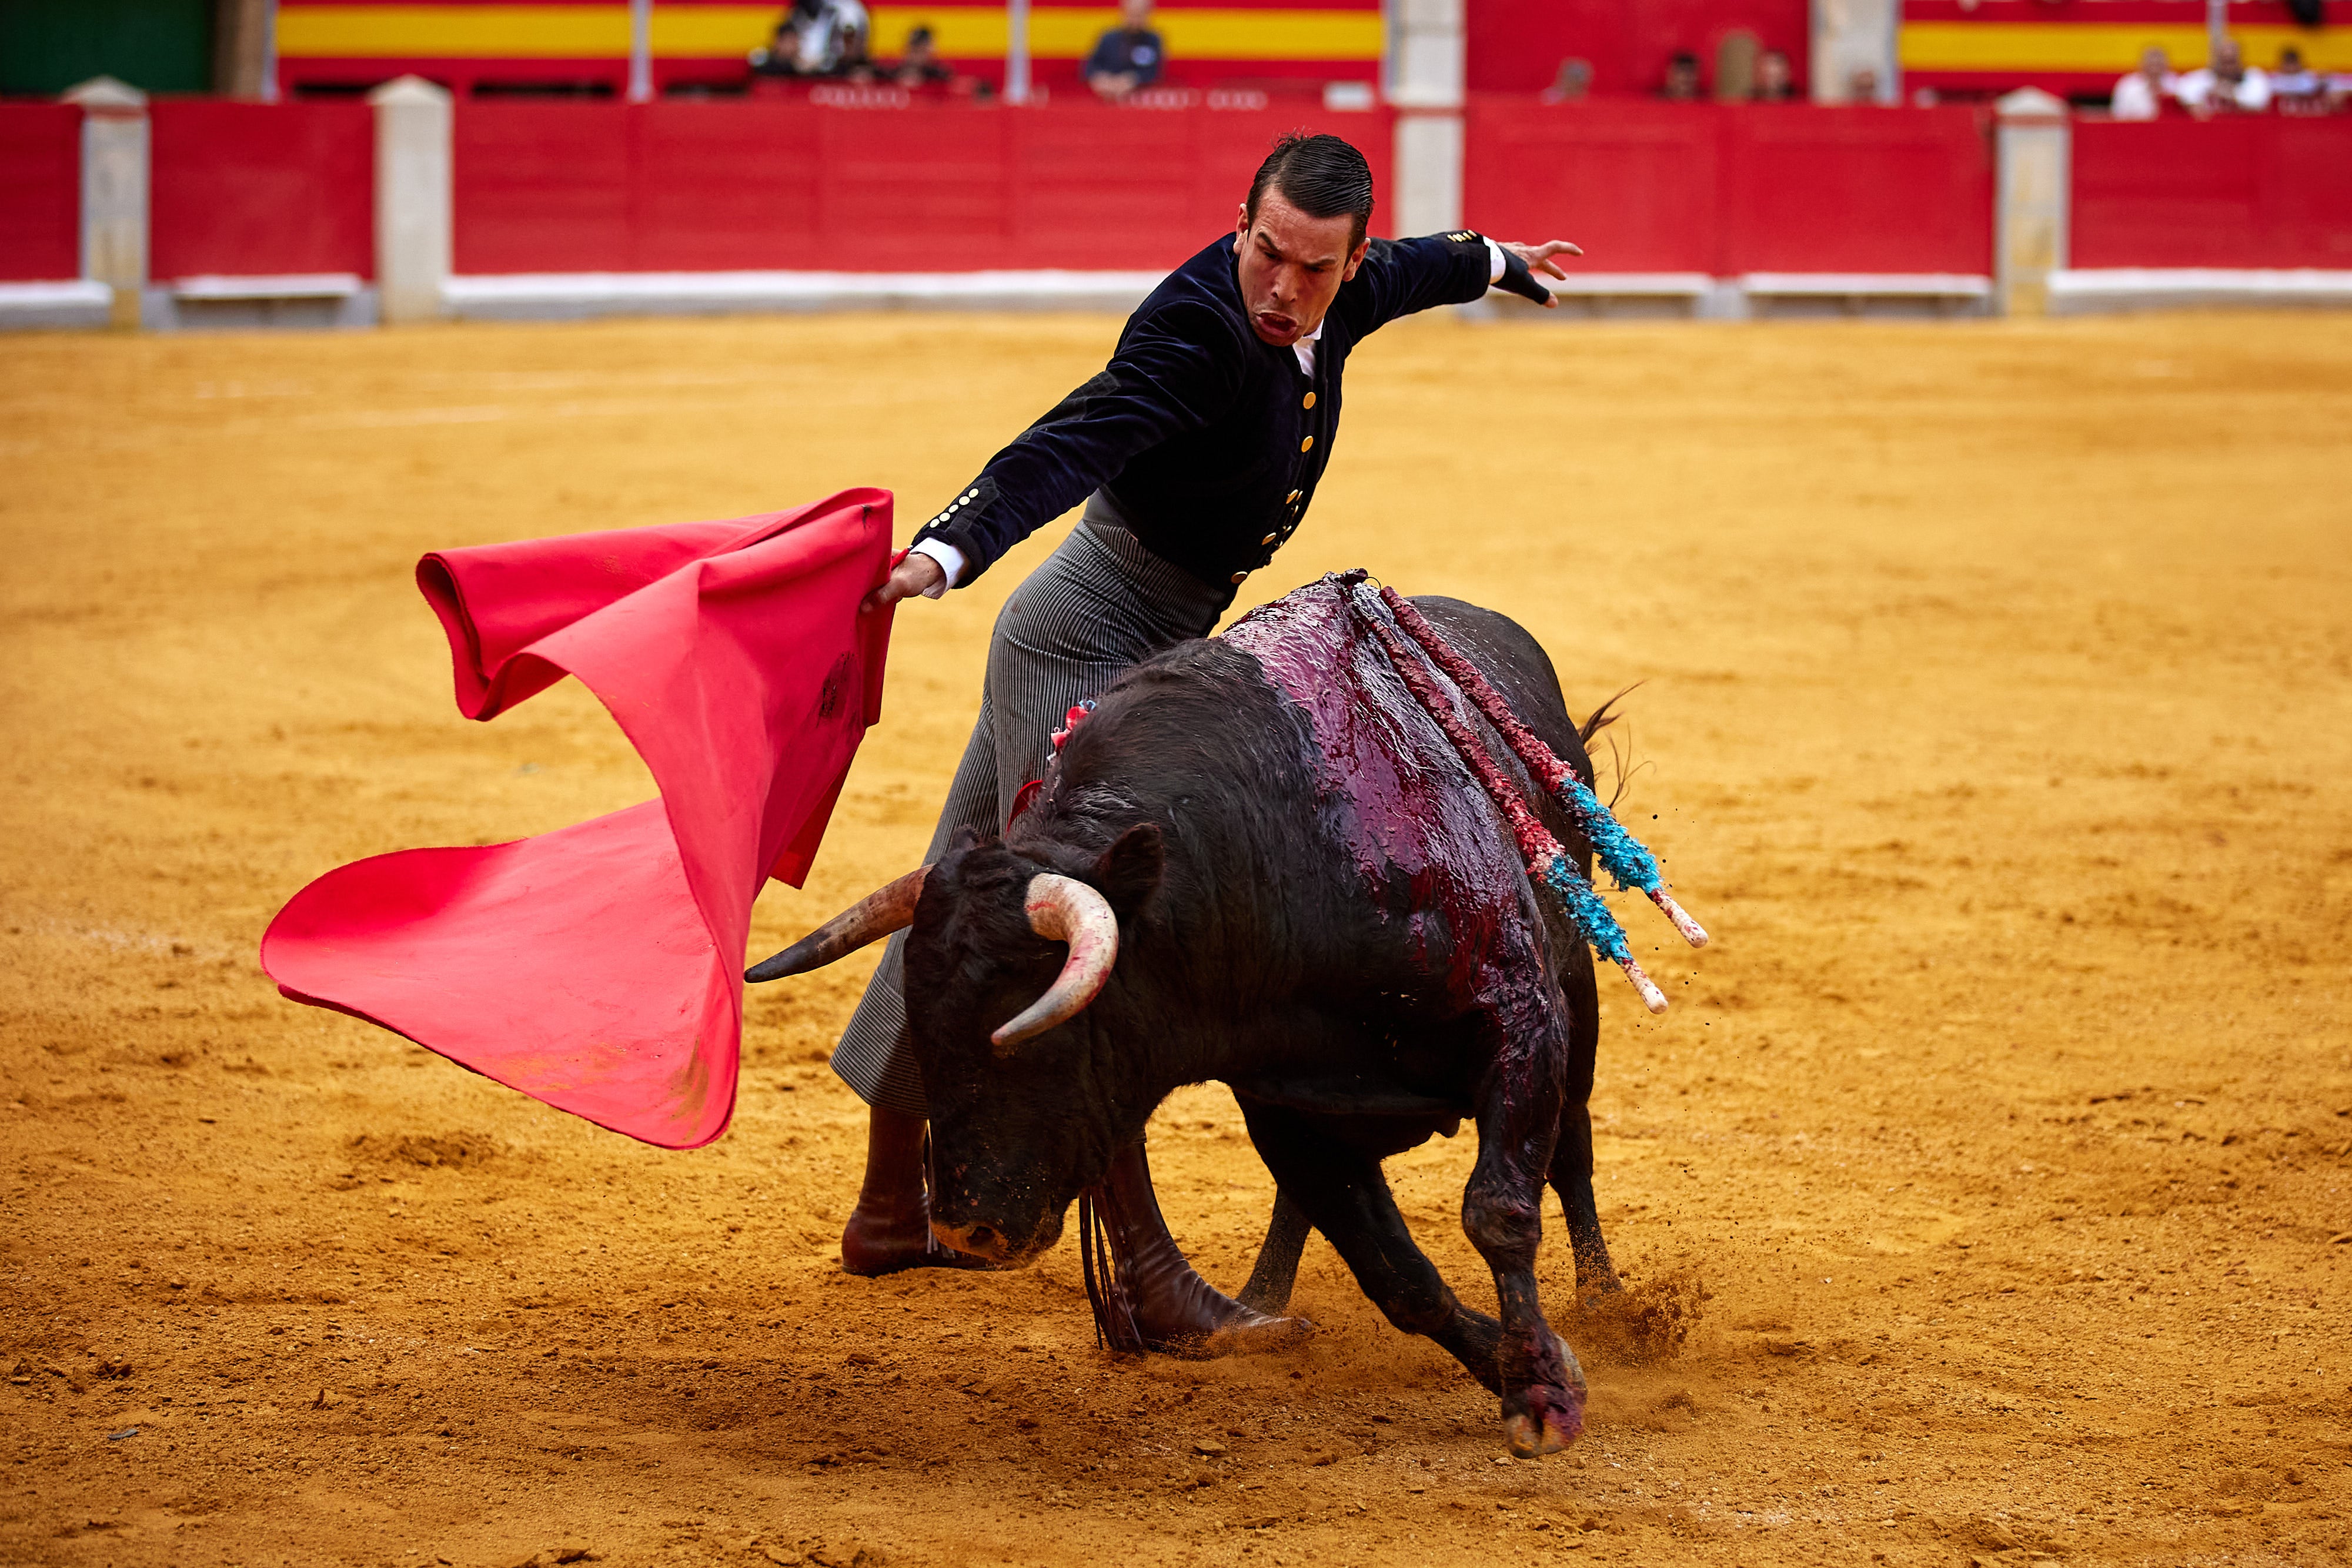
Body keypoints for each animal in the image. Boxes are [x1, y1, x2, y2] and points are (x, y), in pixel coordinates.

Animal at [753, 580, 1637, 1457]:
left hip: (1579, 1003)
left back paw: (1612, 1307)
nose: (969, 1230)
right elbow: (1397, 1276)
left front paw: (1543, 1391)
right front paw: (1523, 1367)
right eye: (929, 1034)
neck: (1278, 846)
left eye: (1032, 1032)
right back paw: (1262, 1298)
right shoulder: (1285, 1104)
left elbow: (1500, 1209)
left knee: (1572, 1149)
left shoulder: (1521, 1016)